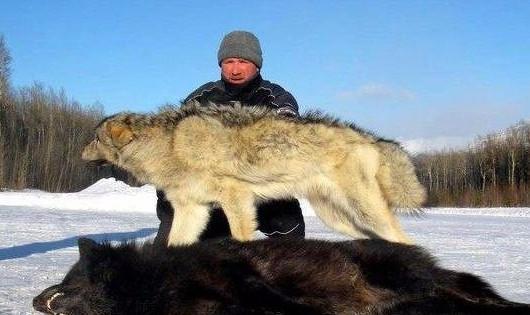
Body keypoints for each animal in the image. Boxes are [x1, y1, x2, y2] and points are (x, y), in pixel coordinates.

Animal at [80, 105, 422, 246]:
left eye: (95, 139)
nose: (80, 153)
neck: (169, 145)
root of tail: (371, 138)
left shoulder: (236, 198)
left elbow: (241, 238)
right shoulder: (193, 209)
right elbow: (173, 244)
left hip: (365, 211)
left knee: (404, 240)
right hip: (338, 219)